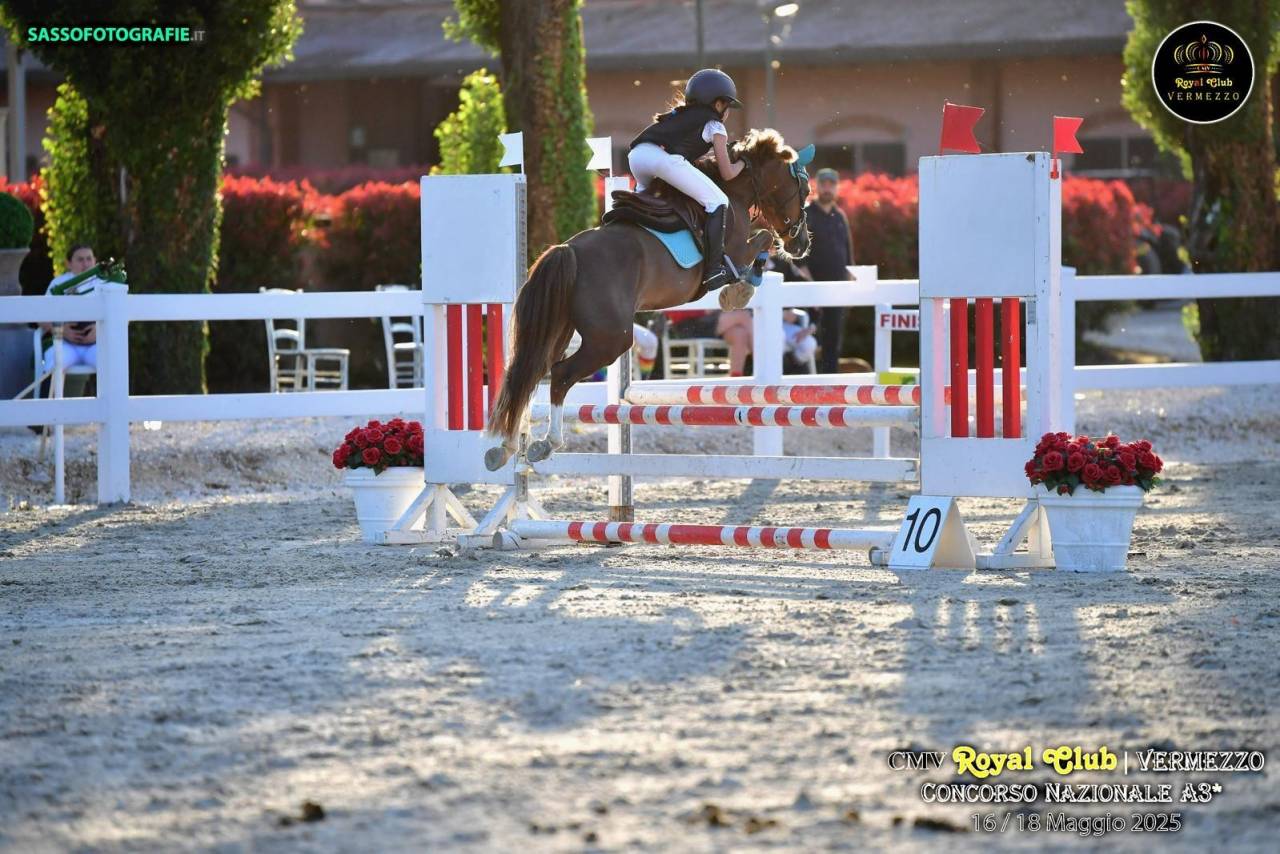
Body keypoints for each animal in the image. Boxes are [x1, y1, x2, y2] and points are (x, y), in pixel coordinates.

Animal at [485, 128, 814, 470]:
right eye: (803, 189)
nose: (801, 244)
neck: (733, 192)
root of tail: (569, 250)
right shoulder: (736, 251)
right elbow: (763, 236)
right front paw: (740, 289)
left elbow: (763, 236)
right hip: (611, 339)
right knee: (560, 374)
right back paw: (546, 443)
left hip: (560, 328)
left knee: (532, 371)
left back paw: (508, 446)